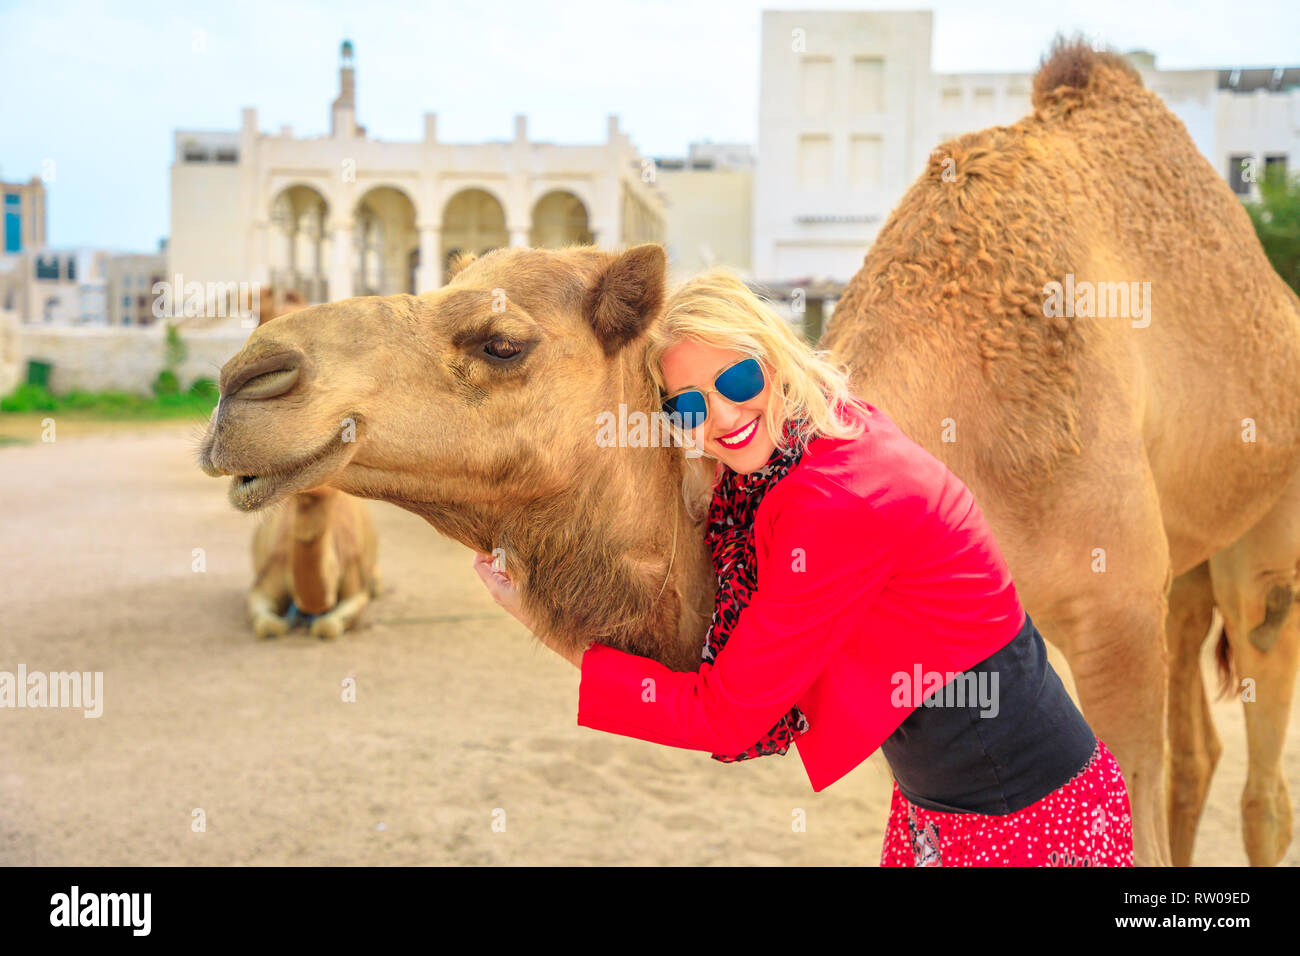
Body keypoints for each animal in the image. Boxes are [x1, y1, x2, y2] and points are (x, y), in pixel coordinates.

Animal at [195, 42, 1300, 868]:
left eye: (501, 342)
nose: (245, 382)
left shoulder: (1113, 616)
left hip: (1259, 537)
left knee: (1256, 739)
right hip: (1188, 560)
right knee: (1202, 746)